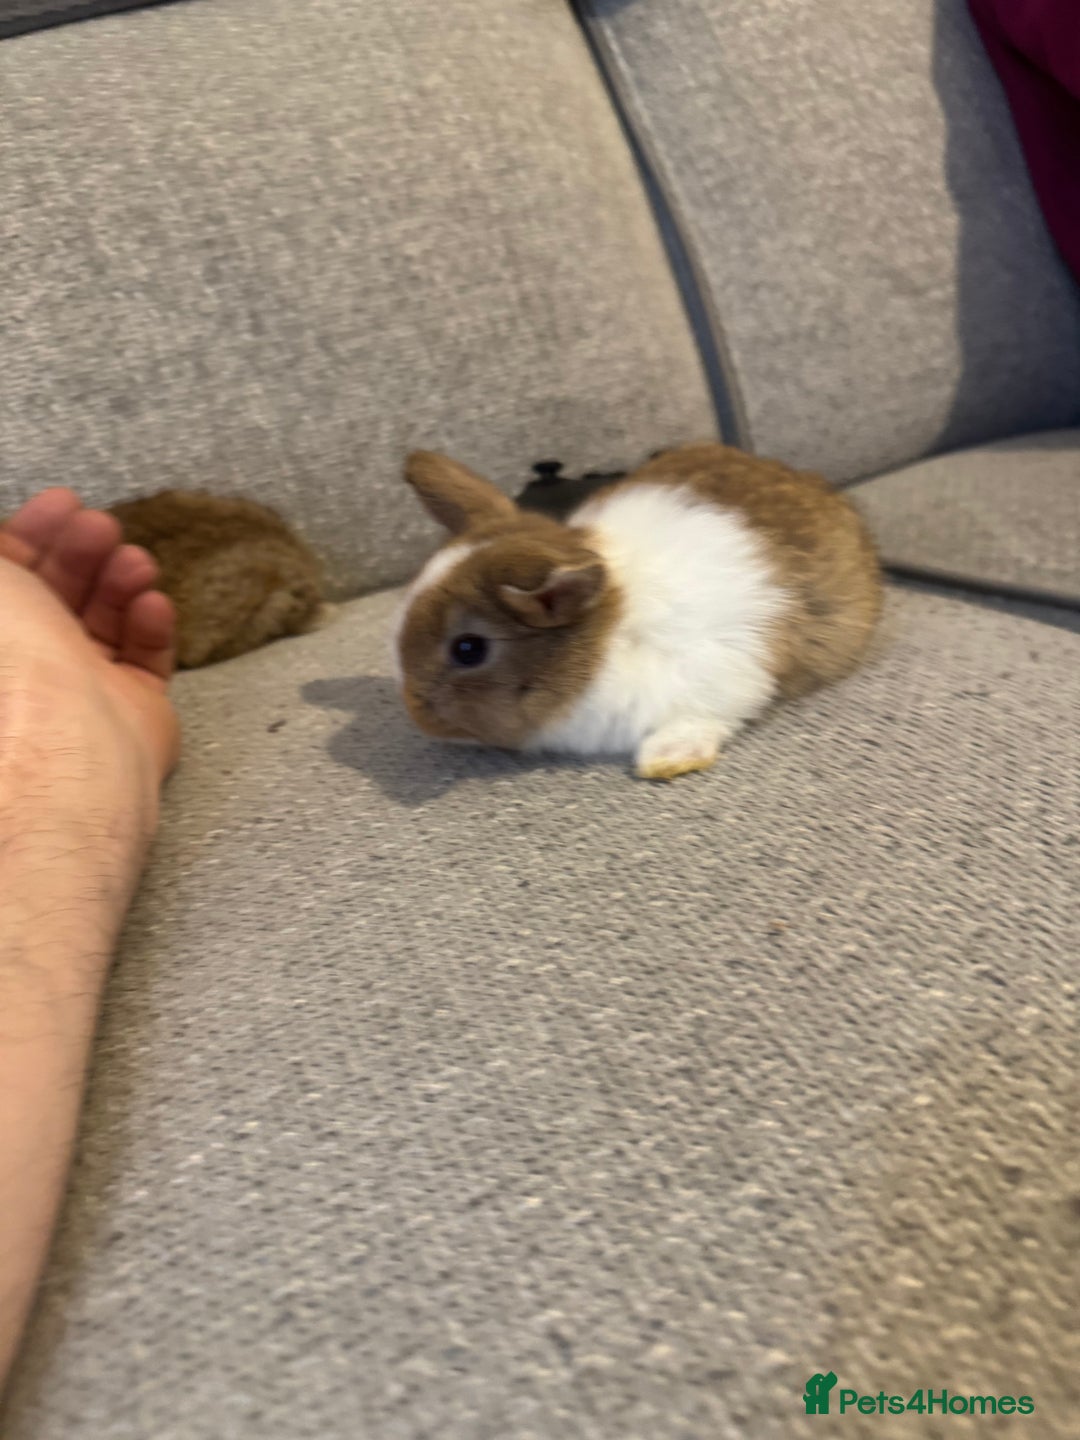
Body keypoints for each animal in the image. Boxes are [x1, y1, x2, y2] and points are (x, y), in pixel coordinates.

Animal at [393, 443, 883, 780]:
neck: (606, 633)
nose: (418, 716)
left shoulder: (717, 680)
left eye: (469, 649)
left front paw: (665, 761)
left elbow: (700, 719)